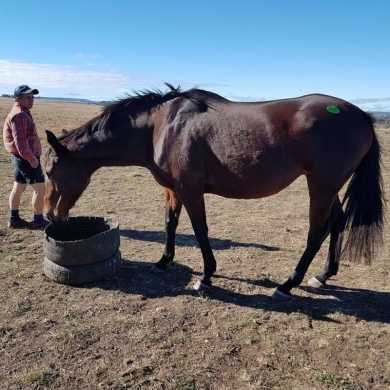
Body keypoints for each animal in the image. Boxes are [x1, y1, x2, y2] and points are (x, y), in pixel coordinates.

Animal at [44, 84, 386, 300]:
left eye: (48, 172)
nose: (50, 215)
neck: (160, 126)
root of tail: (360, 114)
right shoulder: (172, 189)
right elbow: (170, 224)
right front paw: (163, 262)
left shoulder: (190, 190)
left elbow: (200, 230)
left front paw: (206, 277)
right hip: (331, 187)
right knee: (337, 223)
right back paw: (324, 275)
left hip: (321, 186)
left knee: (317, 232)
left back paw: (288, 284)